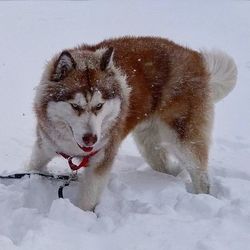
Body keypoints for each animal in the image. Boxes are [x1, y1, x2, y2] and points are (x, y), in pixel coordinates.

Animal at [28, 36, 236, 210]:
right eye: (75, 106)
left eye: (99, 106)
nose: (91, 139)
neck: (72, 147)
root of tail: (195, 57)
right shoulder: (45, 146)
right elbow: (32, 168)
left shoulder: (102, 159)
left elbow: (88, 199)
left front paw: (80, 217)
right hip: (149, 145)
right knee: (164, 165)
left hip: (183, 139)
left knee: (201, 175)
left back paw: (204, 198)